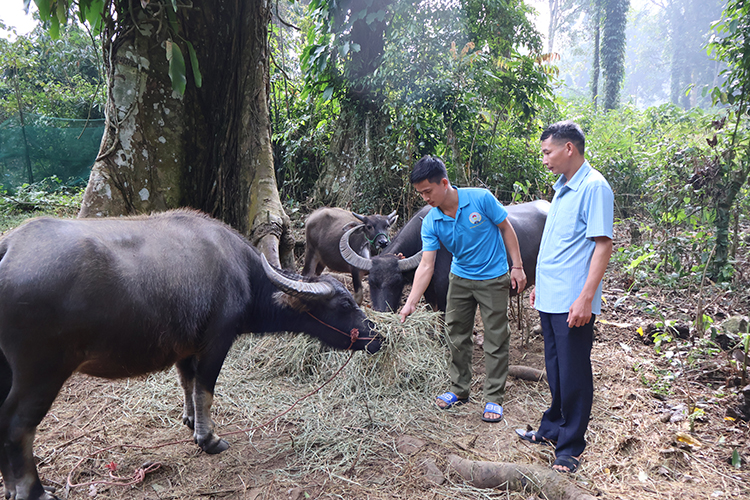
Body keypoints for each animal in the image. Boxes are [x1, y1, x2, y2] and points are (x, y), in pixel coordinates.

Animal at [0, 210, 382, 500]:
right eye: (344, 304)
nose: (376, 336)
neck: (244, 276)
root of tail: (8, 247)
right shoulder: (217, 342)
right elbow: (205, 389)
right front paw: (208, 438)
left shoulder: (185, 346)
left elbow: (187, 381)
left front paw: (188, 419)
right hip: (43, 371)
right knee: (17, 424)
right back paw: (33, 491)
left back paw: (9, 486)